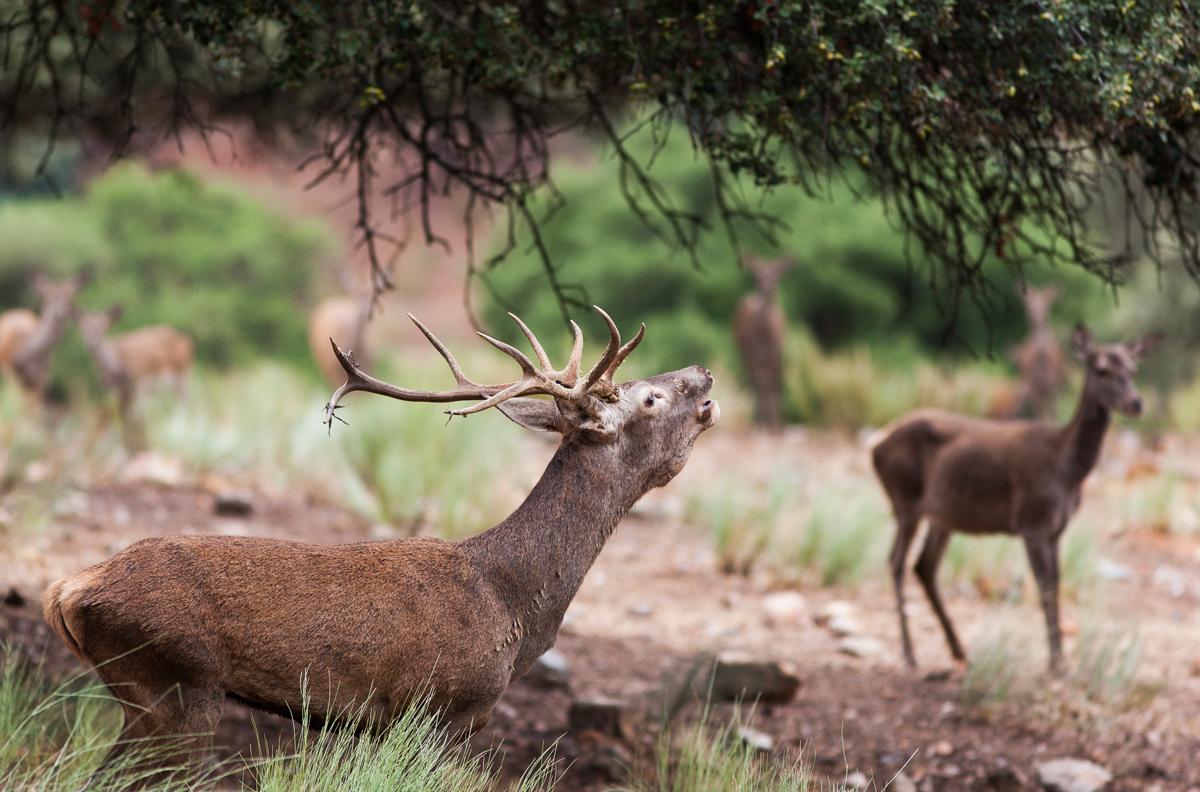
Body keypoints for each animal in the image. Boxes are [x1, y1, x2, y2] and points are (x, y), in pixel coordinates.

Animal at [44, 309, 720, 768]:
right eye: (651, 397)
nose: (705, 371)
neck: (514, 606)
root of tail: (67, 591)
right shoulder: (441, 710)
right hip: (176, 685)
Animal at [729, 256, 796, 429]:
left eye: (776, 275)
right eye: (757, 276)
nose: (766, 288)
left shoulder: (776, 354)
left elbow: (774, 387)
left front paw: (777, 426)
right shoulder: (754, 355)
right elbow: (761, 387)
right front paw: (763, 424)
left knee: (770, 384)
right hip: (744, 353)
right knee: (755, 384)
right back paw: (758, 421)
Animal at [873, 324, 1161, 672]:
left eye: (1133, 369)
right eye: (1101, 369)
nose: (1136, 402)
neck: (1066, 469)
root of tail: (875, 447)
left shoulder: (1056, 529)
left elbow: (1056, 583)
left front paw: (1060, 659)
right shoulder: (1032, 521)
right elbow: (1044, 587)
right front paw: (1055, 662)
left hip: (942, 516)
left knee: (924, 566)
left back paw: (959, 651)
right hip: (904, 499)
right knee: (897, 561)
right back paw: (910, 654)